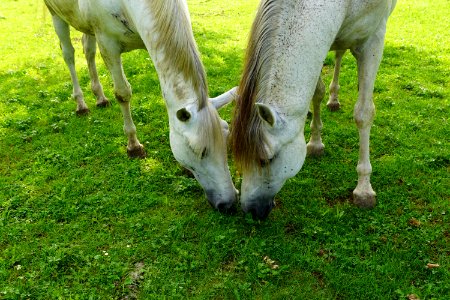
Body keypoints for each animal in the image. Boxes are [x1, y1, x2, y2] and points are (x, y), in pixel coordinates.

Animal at [44, 0, 239, 211]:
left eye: (227, 136)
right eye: (200, 151)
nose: (229, 203)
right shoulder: (108, 45)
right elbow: (123, 94)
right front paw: (133, 146)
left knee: (88, 50)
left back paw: (100, 97)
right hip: (55, 15)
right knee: (69, 54)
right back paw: (81, 104)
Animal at [232, 0, 398, 220]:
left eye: (266, 160)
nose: (250, 209)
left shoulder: (374, 40)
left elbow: (364, 114)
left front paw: (364, 189)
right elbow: (317, 93)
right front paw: (315, 143)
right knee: (339, 54)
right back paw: (332, 99)